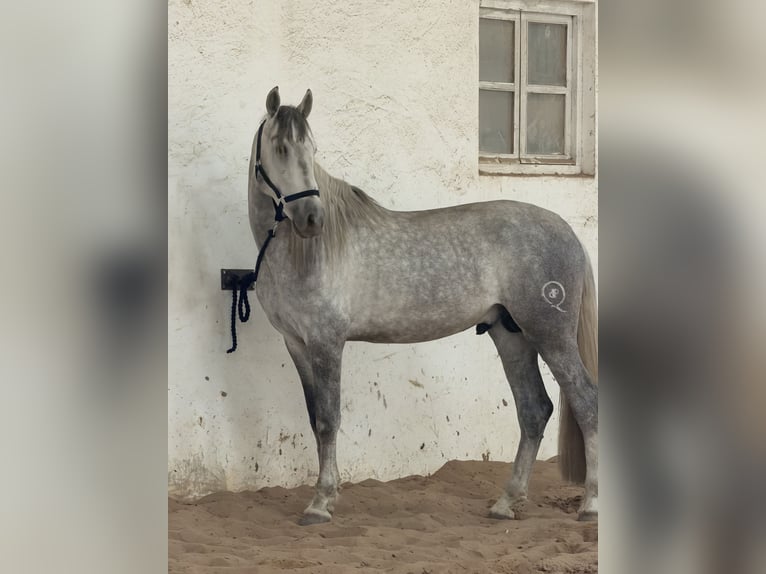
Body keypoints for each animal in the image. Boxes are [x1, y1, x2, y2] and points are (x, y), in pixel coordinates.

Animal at [246, 87, 598, 525]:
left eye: (312, 150)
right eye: (280, 148)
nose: (312, 219)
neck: (304, 254)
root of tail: (567, 230)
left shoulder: (327, 342)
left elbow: (329, 419)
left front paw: (321, 503)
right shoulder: (296, 343)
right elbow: (315, 418)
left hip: (551, 336)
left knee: (586, 403)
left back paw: (590, 504)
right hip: (511, 335)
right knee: (534, 410)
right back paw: (506, 503)